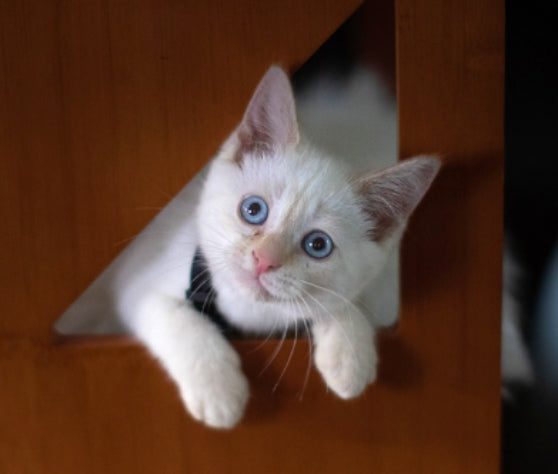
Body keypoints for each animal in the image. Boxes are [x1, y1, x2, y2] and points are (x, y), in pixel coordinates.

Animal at [57, 65, 442, 430]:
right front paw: (218, 391)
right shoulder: (139, 276)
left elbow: (340, 299)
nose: (263, 260)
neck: (247, 312)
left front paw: (350, 354)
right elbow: (172, 315)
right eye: (253, 210)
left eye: (318, 245)